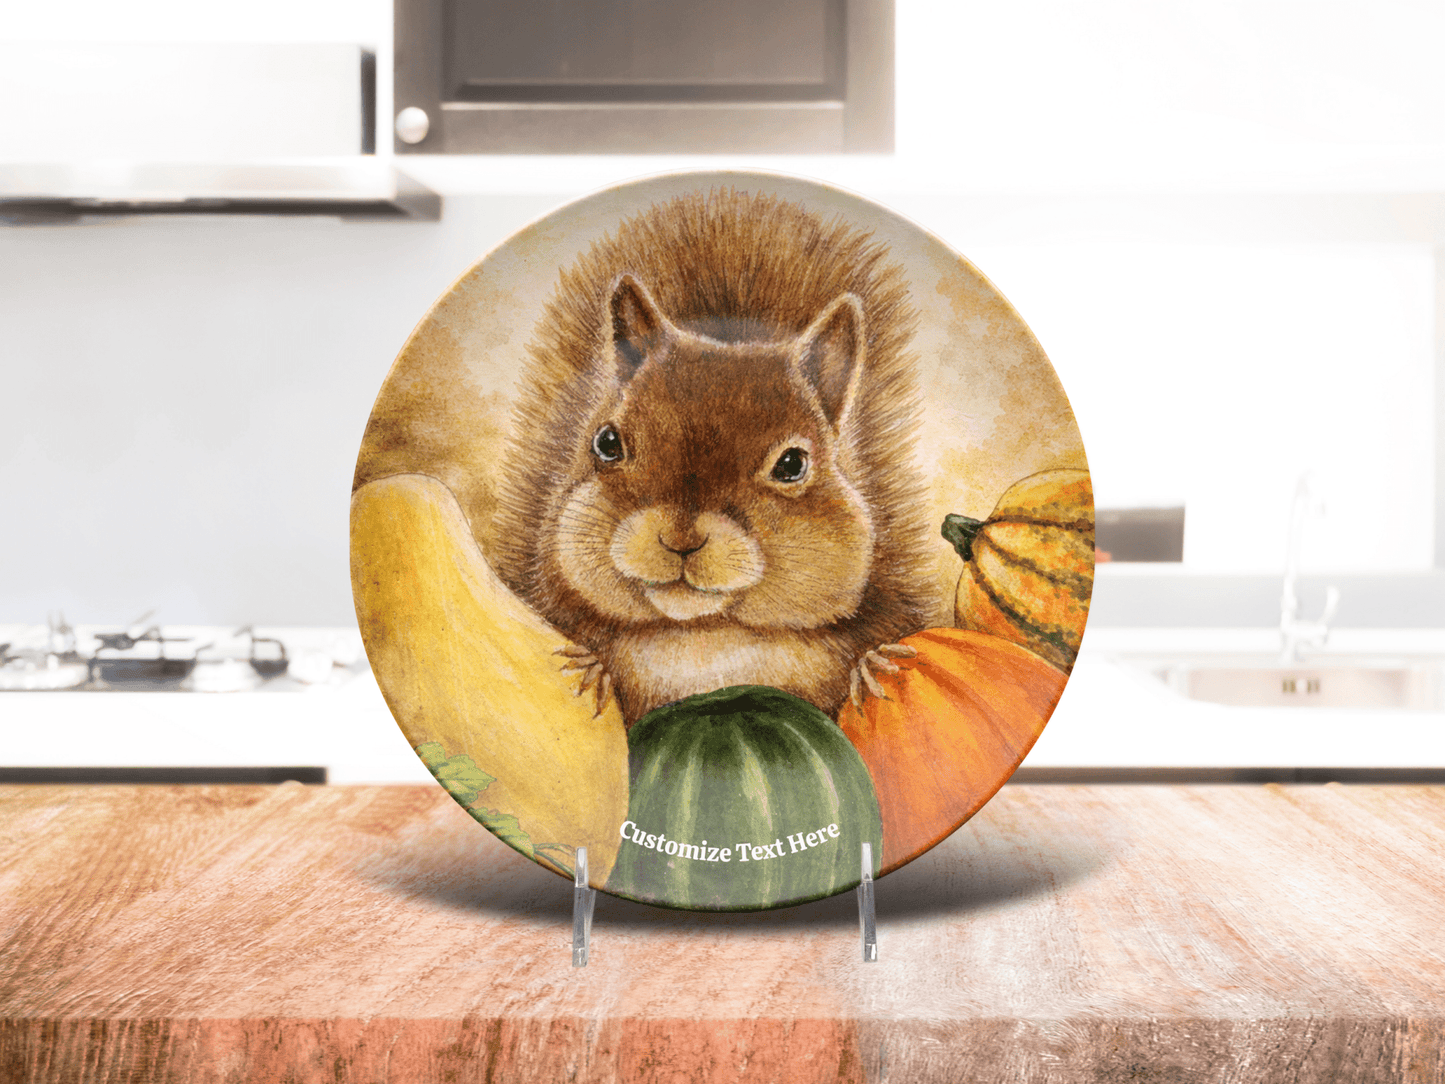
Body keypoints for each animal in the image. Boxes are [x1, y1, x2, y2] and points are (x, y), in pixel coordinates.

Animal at [491, 188, 936, 726]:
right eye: (607, 442)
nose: (680, 540)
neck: (705, 641)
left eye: (792, 464)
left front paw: (874, 665)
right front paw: (592, 668)